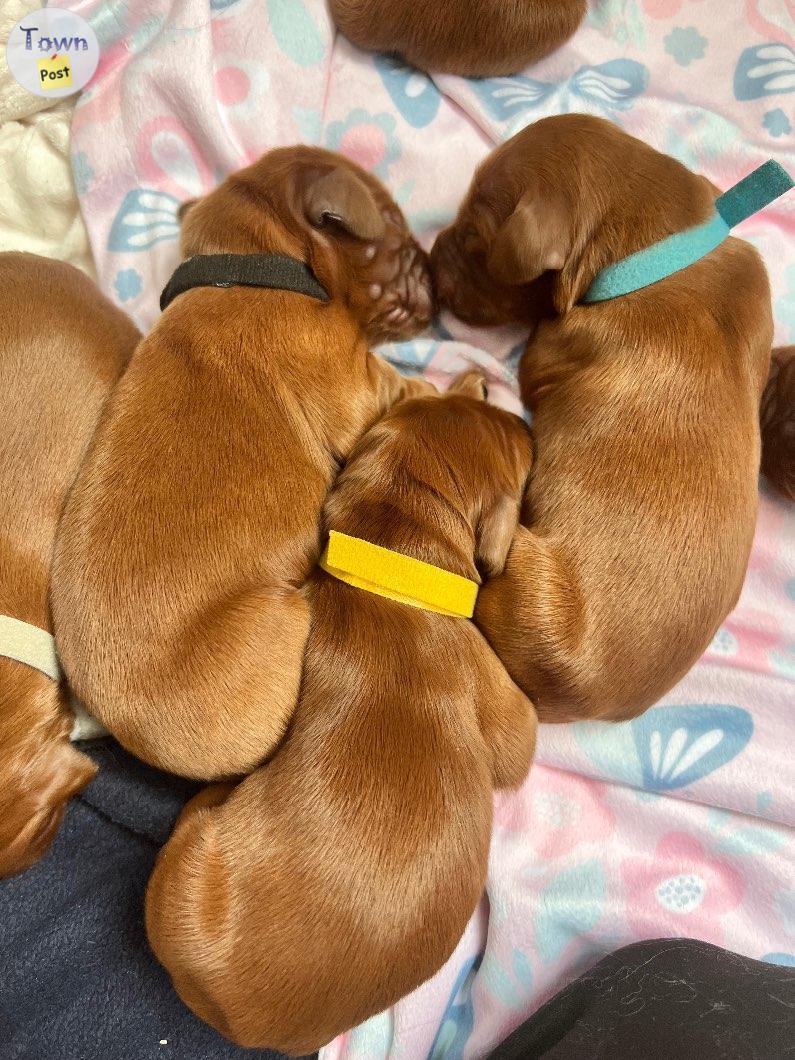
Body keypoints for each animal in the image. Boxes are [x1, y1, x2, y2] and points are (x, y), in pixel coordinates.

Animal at [52, 147, 436, 780]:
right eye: (398, 235)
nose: (434, 271)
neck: (256, 260)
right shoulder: (352, 384)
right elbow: (397, 382)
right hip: (283, 618)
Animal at [145, 373, 538, 1051]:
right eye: (515, 448)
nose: (526, 421)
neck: (390, 569)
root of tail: (234, 1010)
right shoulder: (497, 697)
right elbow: (523, 741)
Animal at [432, 118, 775, 729]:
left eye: (475, 238)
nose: (426, 260)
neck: (660, 251)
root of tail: (581, 696)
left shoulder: (549, 351)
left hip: (519, 568)